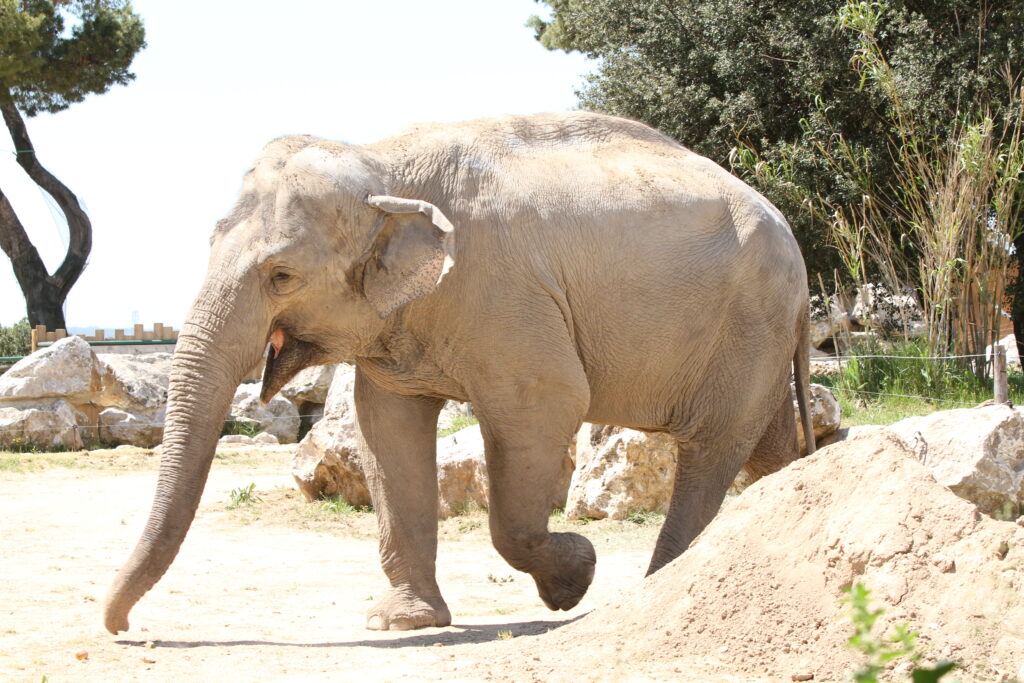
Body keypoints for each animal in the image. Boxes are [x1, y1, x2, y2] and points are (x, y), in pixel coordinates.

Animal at [99, 112, 811, 634]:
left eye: (282, 276)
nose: (123, 628)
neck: (382, 164)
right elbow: (386, 431)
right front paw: (402, 623)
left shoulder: (509, 300)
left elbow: (544, 407)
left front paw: (574, 580)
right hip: (759, 332)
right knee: (769, 447)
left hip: (749, 320)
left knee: (710, 447)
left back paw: (654, 585)